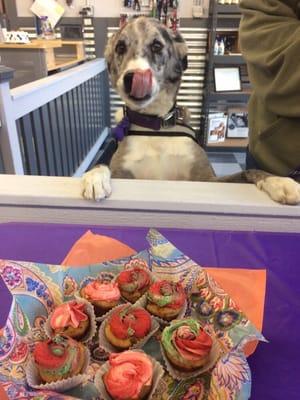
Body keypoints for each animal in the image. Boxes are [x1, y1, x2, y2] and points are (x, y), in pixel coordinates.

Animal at [82, 16, 300, 205]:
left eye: (157, 46)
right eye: (120, 47)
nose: (132, 77)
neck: (156, 126)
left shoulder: (207, 180)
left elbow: (247, 172)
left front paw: (278, 181)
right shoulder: (125, 174)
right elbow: (103, 164)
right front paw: (93, 177)